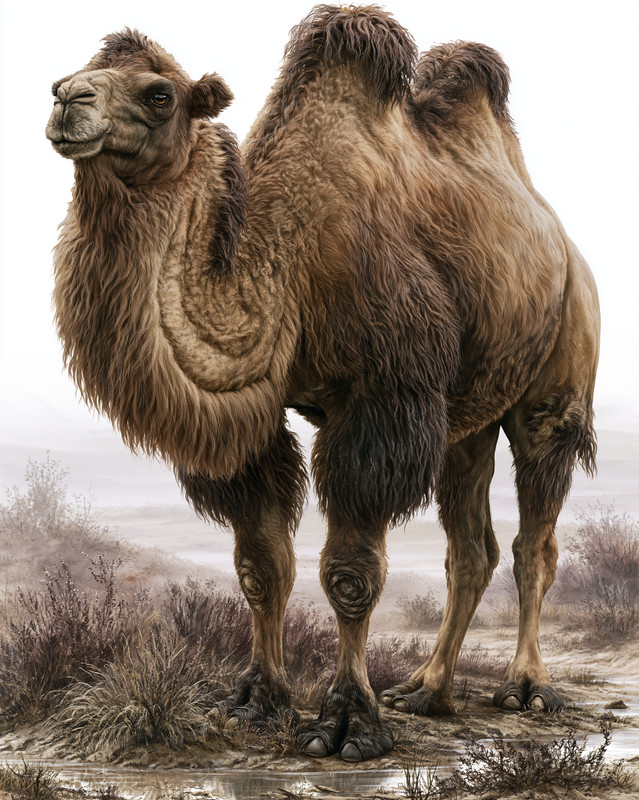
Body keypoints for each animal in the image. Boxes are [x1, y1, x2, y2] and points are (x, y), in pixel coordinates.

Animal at [46, 6, 599, 762]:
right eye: (74, 71)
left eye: (160, 94)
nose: (64, 98)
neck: (287, 267)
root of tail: (565, 244)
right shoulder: (257, 428)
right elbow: (261, 564)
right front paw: (257, 701)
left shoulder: (382, 401)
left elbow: (350, 572)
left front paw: (347, 723)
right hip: (467, 417)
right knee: (470, 549)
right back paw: (426, 691)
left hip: (555, 382)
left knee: (532, 543)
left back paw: (525, 688)